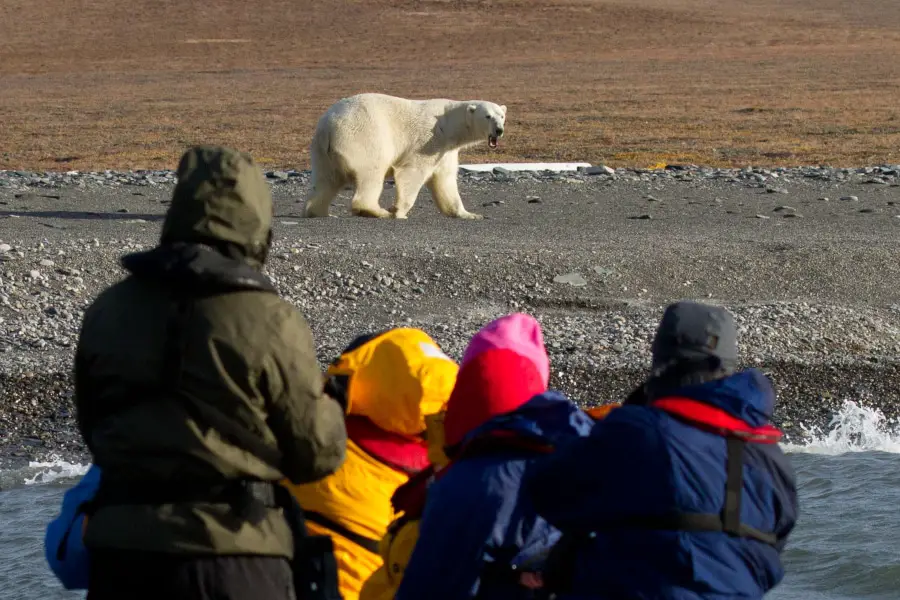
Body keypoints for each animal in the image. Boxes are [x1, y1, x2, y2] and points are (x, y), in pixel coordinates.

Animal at [302, 95, 506, 221]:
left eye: (502, 116)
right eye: (488, 116)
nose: (499, 130)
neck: (448, 124)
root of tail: (328, 127)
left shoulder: (446, 150)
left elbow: (445, 180)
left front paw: (470, 214)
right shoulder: (428, 142)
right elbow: (412, 172)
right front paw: (399, 211)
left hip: (321, 152)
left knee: (325, 180)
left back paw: (317, 211)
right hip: (363, 138)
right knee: (371, 174)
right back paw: (378, 211)